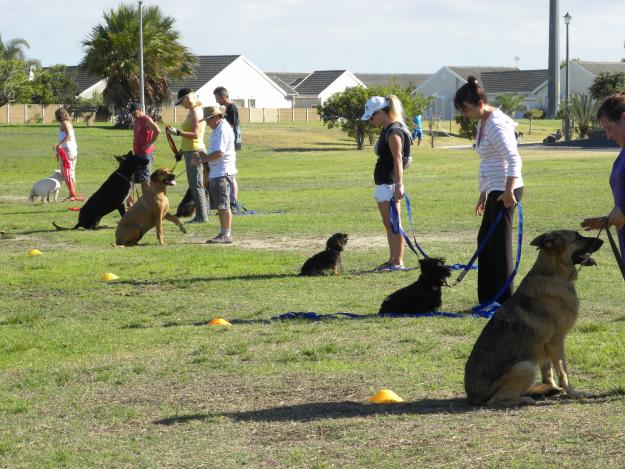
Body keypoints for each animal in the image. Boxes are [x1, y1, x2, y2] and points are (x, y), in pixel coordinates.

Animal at [466, 230, 604, 406]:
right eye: (577, 237)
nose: (602, 241)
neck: (553, 274)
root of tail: (472, 397)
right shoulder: (556, 343)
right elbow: (564, 373)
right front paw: (572, 393)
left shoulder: (545, 346)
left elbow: (548, 372)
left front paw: (553, 387)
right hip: (525, 367)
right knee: (497, 400)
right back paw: (526, 398)